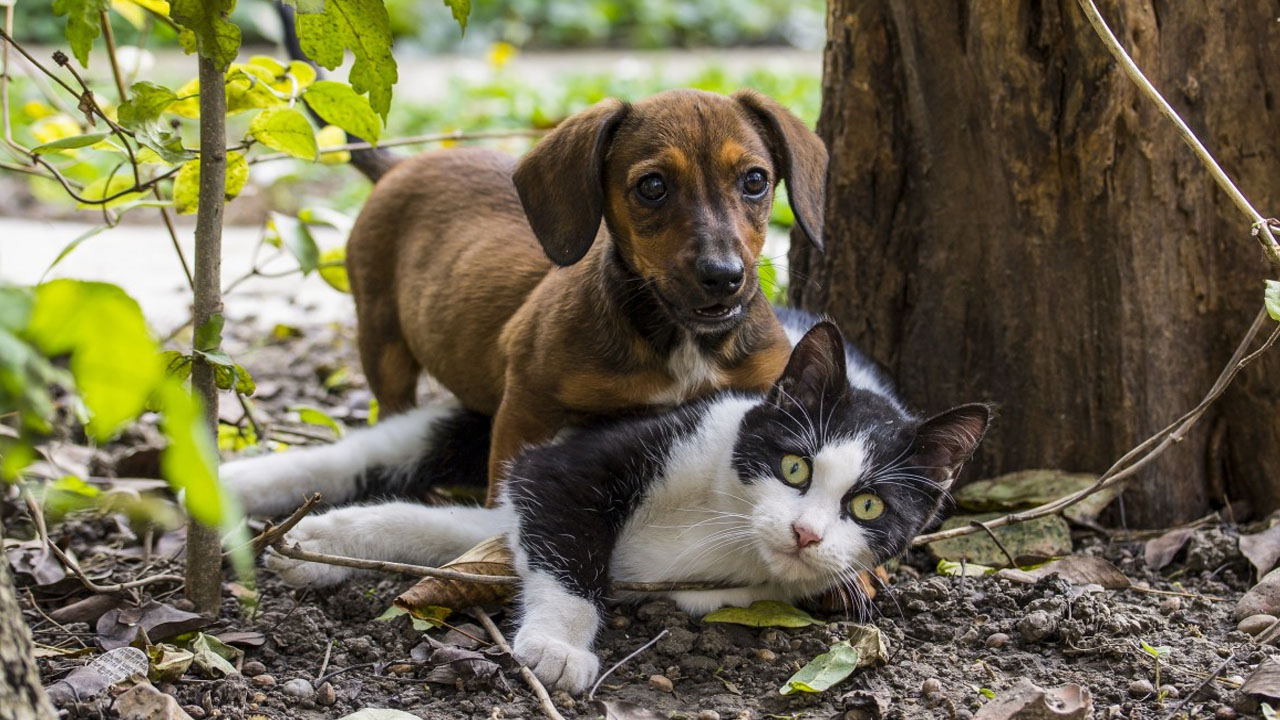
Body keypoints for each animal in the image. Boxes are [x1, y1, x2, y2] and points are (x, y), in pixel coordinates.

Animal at [225, 313, 993, 691]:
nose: (805, 534)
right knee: (376, 450)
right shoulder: (583, 459)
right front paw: (559, 646)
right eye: (794, 466)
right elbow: (566, 541)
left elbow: (458, 529)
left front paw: (328, 545)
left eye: (868, 509)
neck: (725, 522)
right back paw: (236, 488)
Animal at [345, 88, 824, 499]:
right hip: (383, 342)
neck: (681, 342)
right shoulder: (526, 406)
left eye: (755, 180)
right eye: (652, 186)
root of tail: (398, 166)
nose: (723, 277)